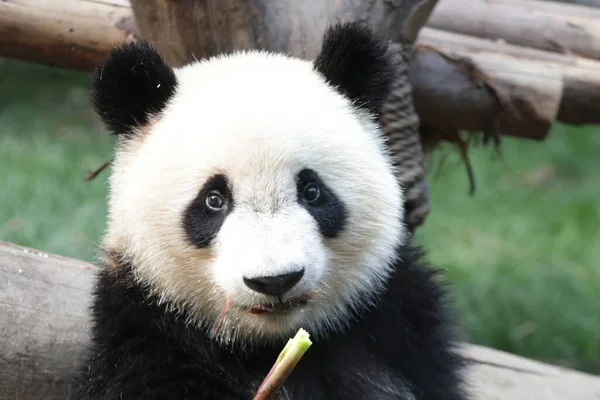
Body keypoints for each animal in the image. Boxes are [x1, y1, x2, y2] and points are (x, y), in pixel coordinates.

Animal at [74, 21, 468, 400]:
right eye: (214, 200)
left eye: (312, 192)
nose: (275, 280)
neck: (267, 344)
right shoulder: (147, 334)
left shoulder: (395, 328)